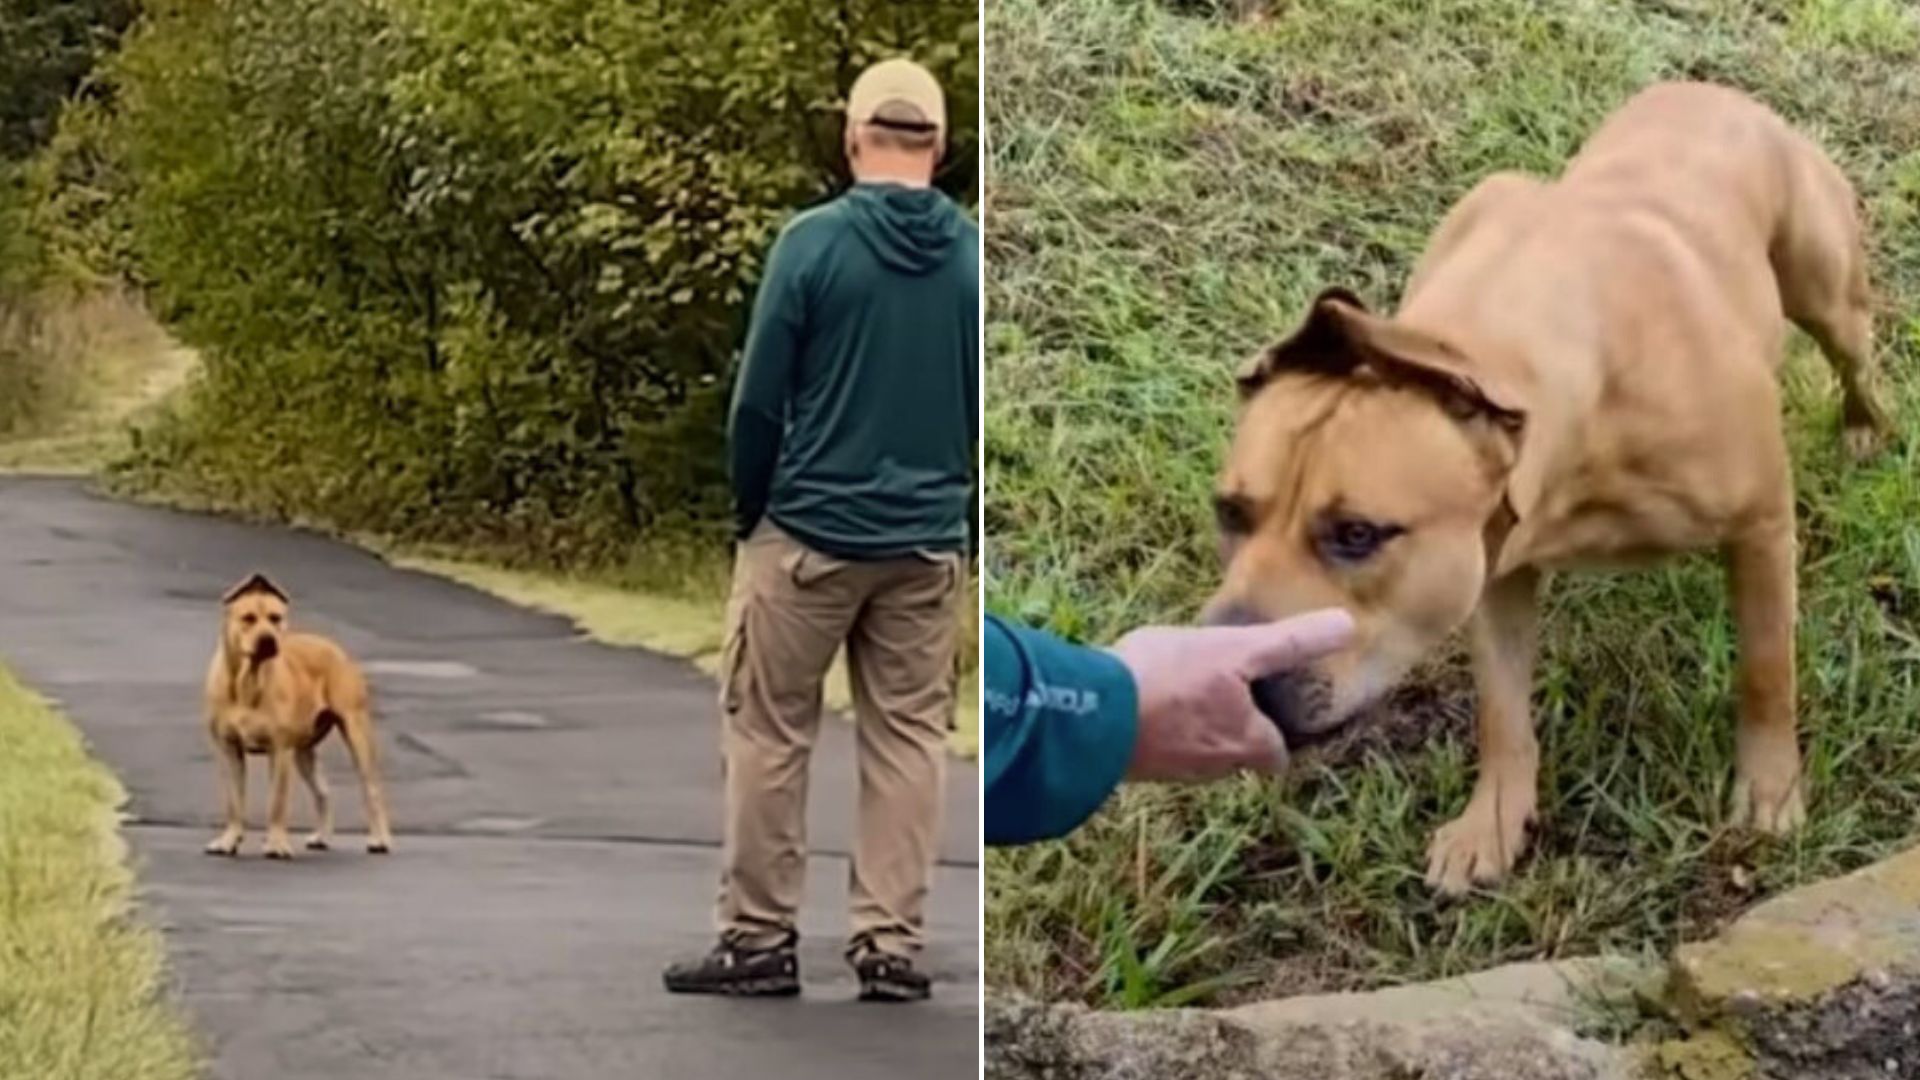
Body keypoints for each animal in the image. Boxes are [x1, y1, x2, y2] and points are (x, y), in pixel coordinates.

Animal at [206, 572, 393, 857]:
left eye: (276, 617)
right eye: (248, 618)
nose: (268, 639)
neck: (248, 679)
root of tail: (332, 645)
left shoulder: (279, 750)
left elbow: (277, 802)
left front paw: (276, 844)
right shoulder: (230, 750)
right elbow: (234, 802)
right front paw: (228, 840)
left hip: (357, 732)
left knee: (372, 788)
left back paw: (380, 840)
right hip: (304, 752)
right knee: (323, 792)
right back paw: (321, 837)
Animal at [1213, 82, 1889, 891]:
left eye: (1357, 534)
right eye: (1229, 513)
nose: (1231, 677)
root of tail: (1715, 90)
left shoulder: (1759, 528)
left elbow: (1766, 670)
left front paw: (1769, 791)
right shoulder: (1490, 567)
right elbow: (1502, 711)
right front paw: (1495, 822)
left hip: (1828, 290)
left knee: (1857, 357)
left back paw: (1865, 427)